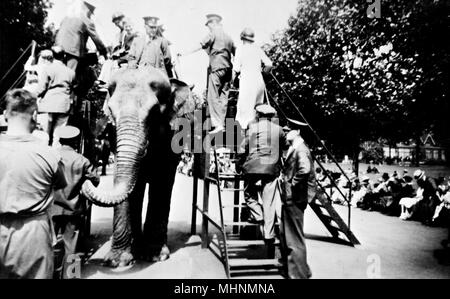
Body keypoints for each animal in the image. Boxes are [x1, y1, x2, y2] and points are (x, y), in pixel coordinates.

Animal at [82, 67, 197, 268]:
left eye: (153, 113)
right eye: (111, 112)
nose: (90, 178)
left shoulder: (171, 136)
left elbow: (161, 181)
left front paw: (155, 256)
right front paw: (116, 261)